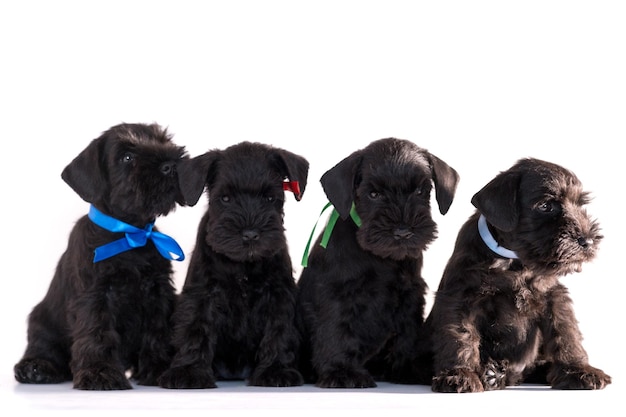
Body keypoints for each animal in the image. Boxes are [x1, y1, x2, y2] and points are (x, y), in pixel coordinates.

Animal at [14, 122, 188, 388]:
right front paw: (100, 372)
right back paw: (35, 368)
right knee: (44, 347)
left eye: (164, 141)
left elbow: (157, 331)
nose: (170, 165)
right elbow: (97, 333)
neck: (129, 233)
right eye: (127, 157)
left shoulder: (157, 292)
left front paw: (158, 368)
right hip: (42, 320)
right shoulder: (95, 295)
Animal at [157, 141, 308, 388]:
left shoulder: (278, 294)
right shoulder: (203, 294)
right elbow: (195, 328)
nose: (250, 235)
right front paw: (189, 371)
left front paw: (275, 370)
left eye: (269, 198)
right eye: (225, 198)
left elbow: (279, 329)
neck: (242, 264)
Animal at [292, 138, 458, 388]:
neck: (382, 258)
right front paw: (342, 372)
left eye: (420, 191)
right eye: (373, 194)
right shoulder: (338, 294)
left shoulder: (410, 295)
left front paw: (406, 368)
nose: (402, 232)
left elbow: (407, 333)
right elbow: (337, 330)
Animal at [426, 158, 612, 392]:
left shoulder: (553, 296)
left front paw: (578, 370)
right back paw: (492, 374)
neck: (515, 263)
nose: (587, 241)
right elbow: (460, 336)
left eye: (580, 204)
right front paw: (459, 375)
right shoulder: (461, 297)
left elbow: (566, 332)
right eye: (546, 205)